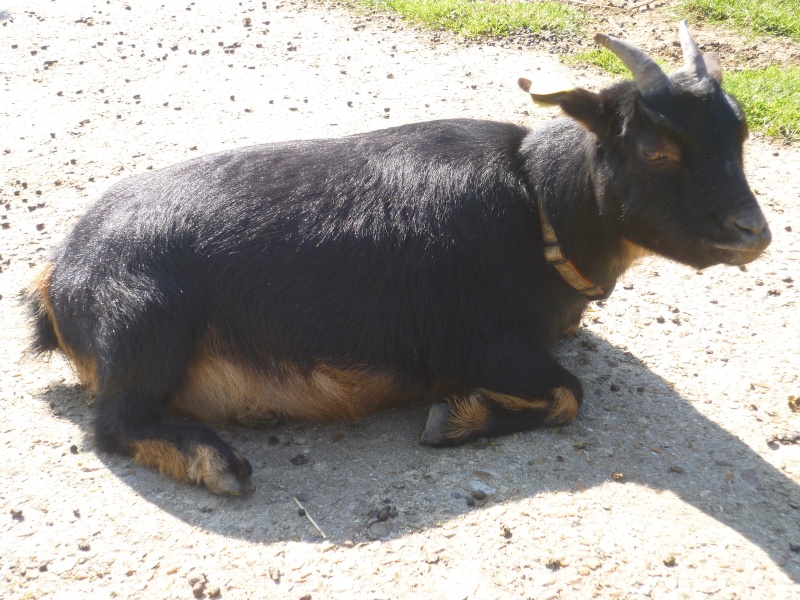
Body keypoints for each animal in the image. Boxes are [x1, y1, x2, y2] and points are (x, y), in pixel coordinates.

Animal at [29, 22, 768, 492]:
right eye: (656, 149)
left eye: (740, 135)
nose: (754, 231)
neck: (538, 205)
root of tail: (58, 276)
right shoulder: (472, 341)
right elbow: (568, 393)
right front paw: (455, 419)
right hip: (146, 318)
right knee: (115, 424)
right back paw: (215, 463)